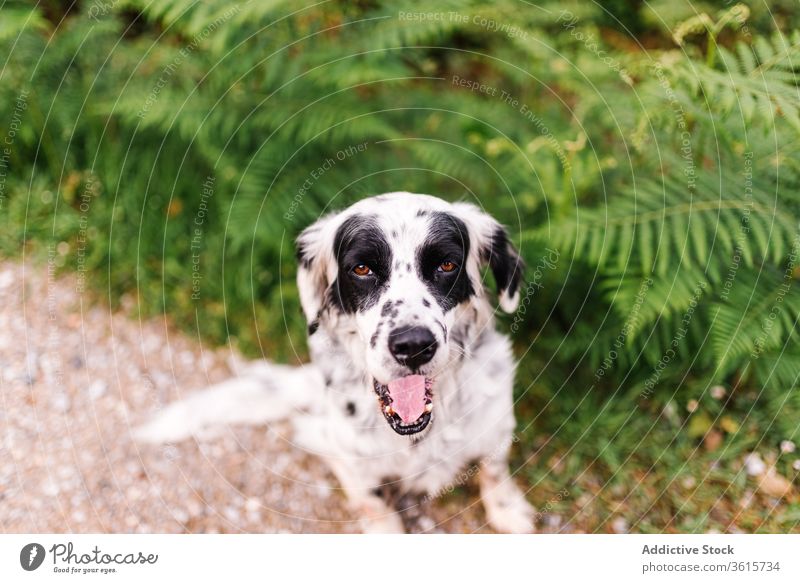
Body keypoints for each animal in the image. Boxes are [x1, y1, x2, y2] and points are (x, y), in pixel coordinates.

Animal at [136, 193, 536, 532]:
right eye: (361, 269)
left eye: (447, 264)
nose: (413, 345)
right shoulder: (357, 461)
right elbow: (373, 504)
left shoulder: (497, 423)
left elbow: (494, 469)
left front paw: (507, 510)